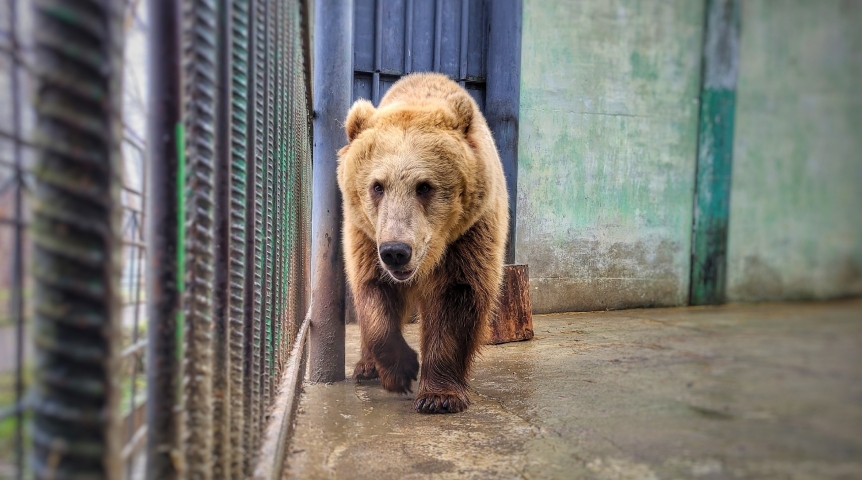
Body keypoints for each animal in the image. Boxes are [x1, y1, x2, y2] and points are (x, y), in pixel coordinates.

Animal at [336, 73, 509, 414]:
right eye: (377, 186)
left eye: (425, 186)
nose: (396, 252)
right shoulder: (366, 237)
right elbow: (374, 293)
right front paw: (400, 371)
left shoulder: (469, 236)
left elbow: (456, 298)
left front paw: (439, 396)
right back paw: (366, 367)